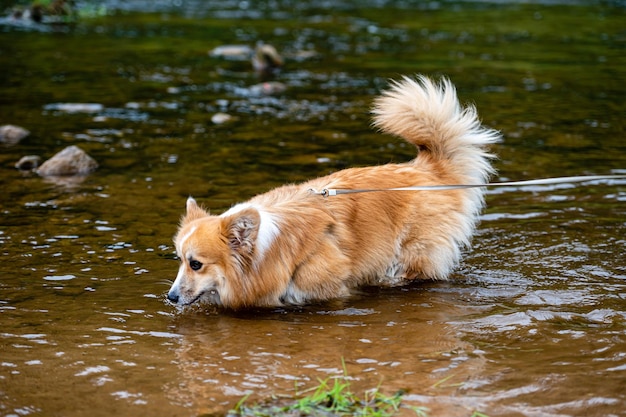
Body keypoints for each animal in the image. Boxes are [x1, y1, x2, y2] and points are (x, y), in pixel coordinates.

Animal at [168, 75, 500, 308]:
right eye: (180, 260)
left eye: (196, 264)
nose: (170, 297)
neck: (266, 251)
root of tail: (426, 168)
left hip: (410, 257)